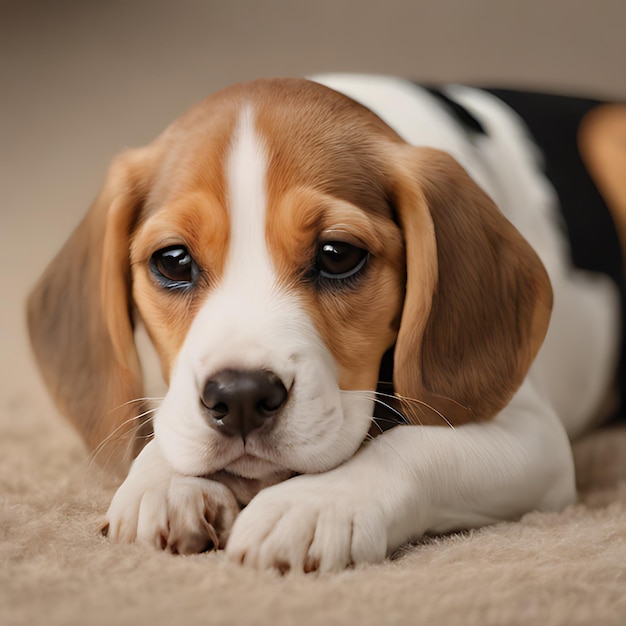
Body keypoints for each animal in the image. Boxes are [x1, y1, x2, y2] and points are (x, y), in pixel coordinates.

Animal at [28, 73, 620, 572]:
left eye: (338, 255)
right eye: (172, 261)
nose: (240, 397)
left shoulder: (537, 437)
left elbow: (412, 446)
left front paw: (315, 504)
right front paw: (164, 480)